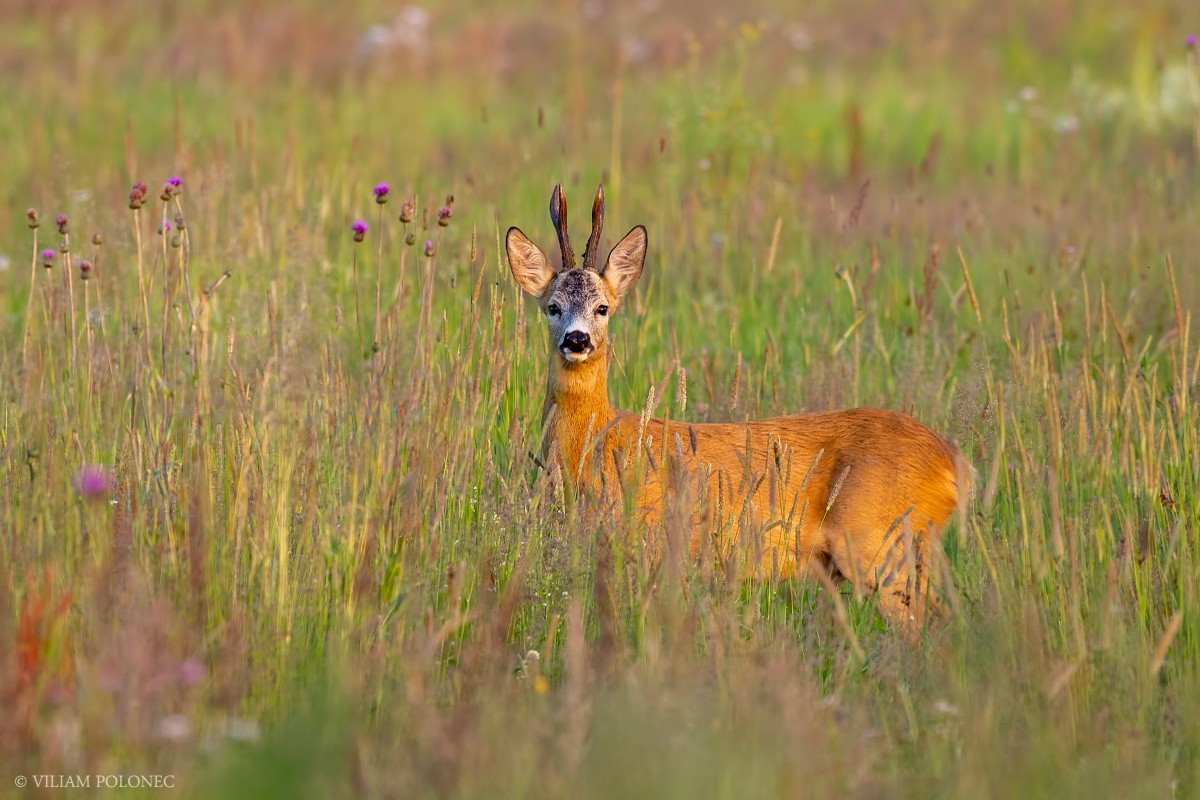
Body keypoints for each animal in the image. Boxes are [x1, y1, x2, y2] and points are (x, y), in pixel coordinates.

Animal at [501, 184, 969, 633]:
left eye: (603, 307)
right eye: (553, 307)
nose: (577, 339)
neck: (599, 439)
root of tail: (953, 465)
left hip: (880, 547)